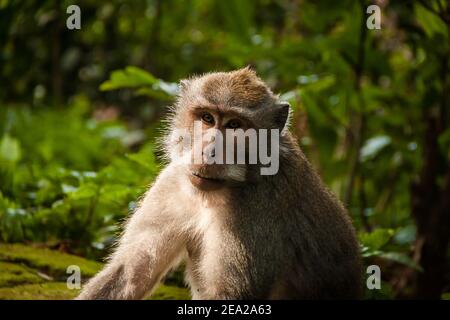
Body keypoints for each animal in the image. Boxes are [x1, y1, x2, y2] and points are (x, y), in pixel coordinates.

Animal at [76, 67, 362, 300]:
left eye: (234, 125)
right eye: (207, 118)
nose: (208, 151)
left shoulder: (258, 208)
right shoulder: (172, 182)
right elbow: (130, 273)